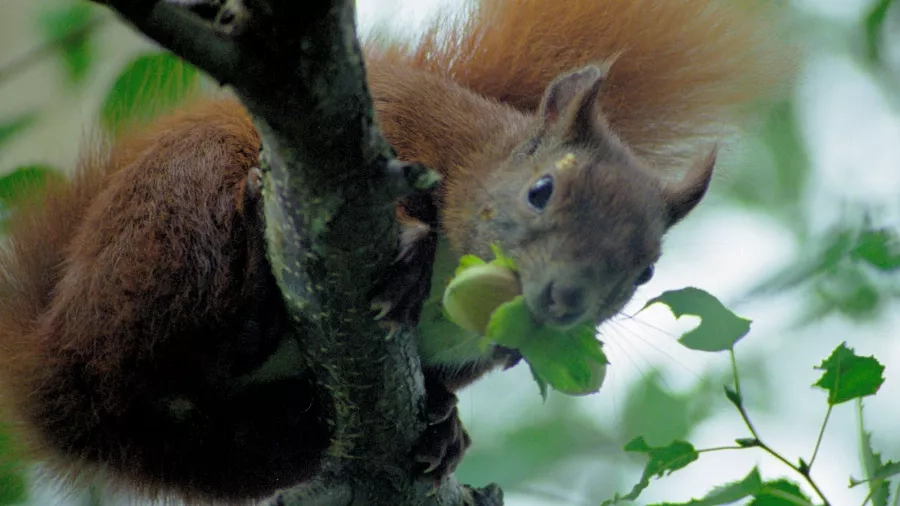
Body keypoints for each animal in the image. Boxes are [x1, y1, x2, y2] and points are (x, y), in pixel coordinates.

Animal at [0, 0, 788, 502]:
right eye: (541, 191)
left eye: (647, 269)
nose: (563, 300)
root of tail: (46, 359)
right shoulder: (409, 128)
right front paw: (411, 249)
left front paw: (447, 425)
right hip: (176, 218)